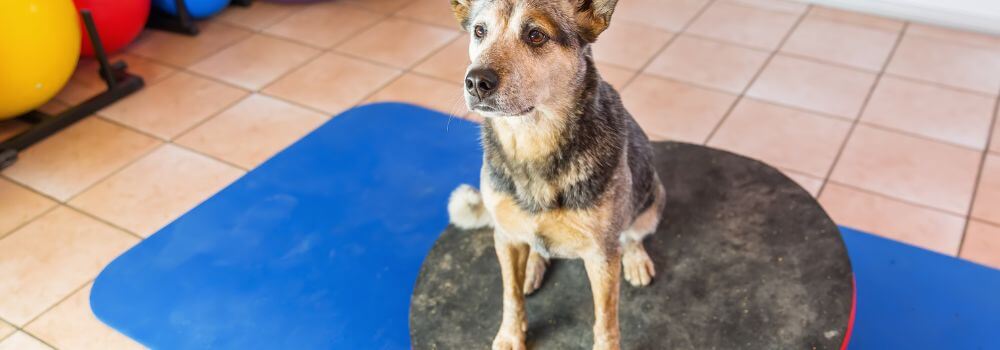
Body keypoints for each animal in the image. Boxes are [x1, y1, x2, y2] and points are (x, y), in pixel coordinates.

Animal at [446, 1, 664, 348]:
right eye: (479, 31)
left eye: (535, 35)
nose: (476, 81)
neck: (532, 143)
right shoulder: (505, 238)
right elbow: (510, 295)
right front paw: (511, 335)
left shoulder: (602, 254)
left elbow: (606, 318)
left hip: (653, 197)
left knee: (633, 235)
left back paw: (635, 258)